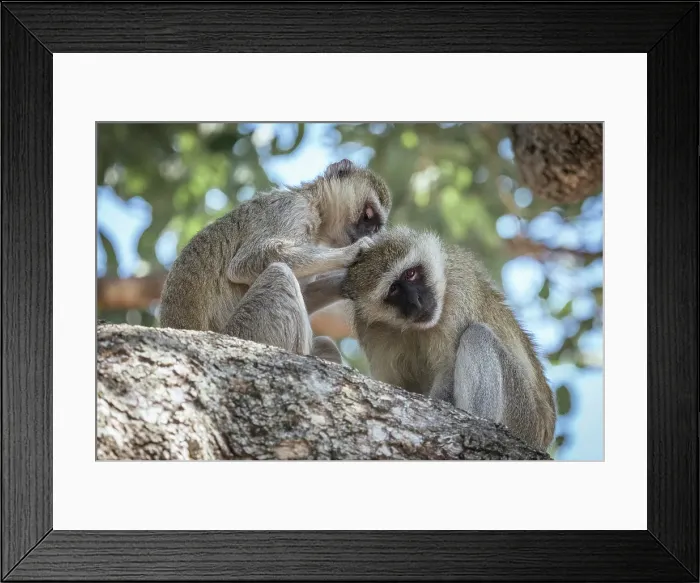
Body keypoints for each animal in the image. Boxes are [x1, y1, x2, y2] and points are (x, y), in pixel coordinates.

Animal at [158, 159, 392, 364]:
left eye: (376, 226)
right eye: (368, 216)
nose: (369, 233)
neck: (314, 204)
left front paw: (345, 283)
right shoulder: (290, 210)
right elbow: (246, 263)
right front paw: (354, 251)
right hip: (245, 334)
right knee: (279, 274)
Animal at [339, 226, 557, 451]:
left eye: (411, 274)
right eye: (394, 289)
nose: (416, 301)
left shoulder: (460, 290)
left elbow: (448, 371)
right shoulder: (369, 328)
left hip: (523, 416)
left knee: (477, 335)